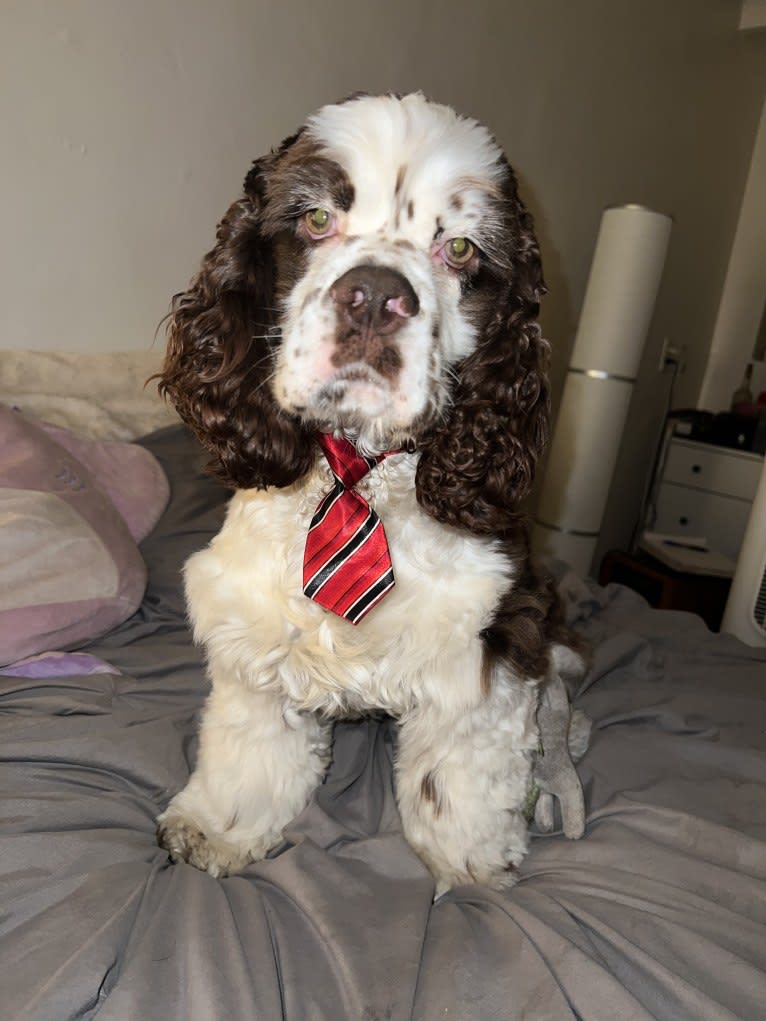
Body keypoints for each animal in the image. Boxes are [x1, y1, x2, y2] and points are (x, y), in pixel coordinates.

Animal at [157, 93, 588, 894]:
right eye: (316, 218)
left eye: (461, 250)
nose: (376, 296)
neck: (362, 472)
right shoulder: (252, 630)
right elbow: (250, 749)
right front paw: (219, 827)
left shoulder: (491, 632)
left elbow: (457, 775)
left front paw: (471, 863)